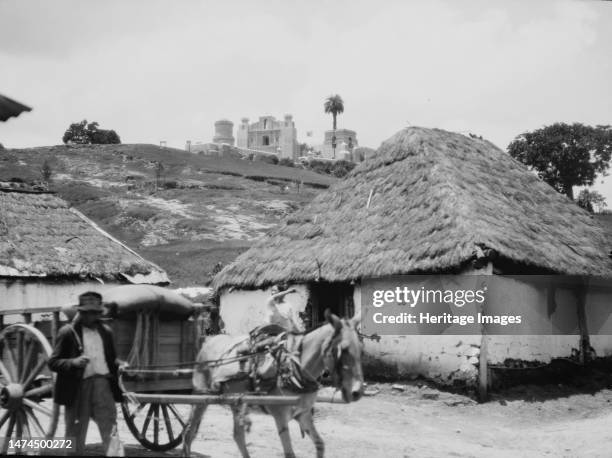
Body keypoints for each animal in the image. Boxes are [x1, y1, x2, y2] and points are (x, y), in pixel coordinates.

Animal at [182, 308, 364, 458]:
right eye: (343, 350)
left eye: (361, 348)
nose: (357, 392)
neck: (294, 367)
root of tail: (208, 342)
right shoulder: (280, 416)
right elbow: (289, 453)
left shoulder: (303, 414)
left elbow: (320, 445)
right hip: (201, 397)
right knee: (189, 432)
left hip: (236, 401)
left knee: (238, 435)